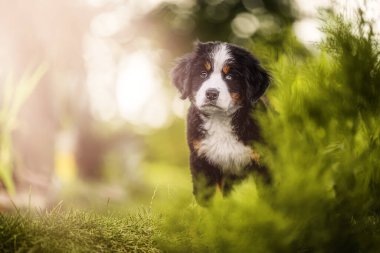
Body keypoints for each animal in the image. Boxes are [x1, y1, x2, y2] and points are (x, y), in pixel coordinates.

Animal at [172, 41, 270, 206]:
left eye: (230, 76)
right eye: (203, 74)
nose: (211, 93)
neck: (219, 121)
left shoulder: (263, 161)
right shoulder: (201, 160)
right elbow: (205, 198)